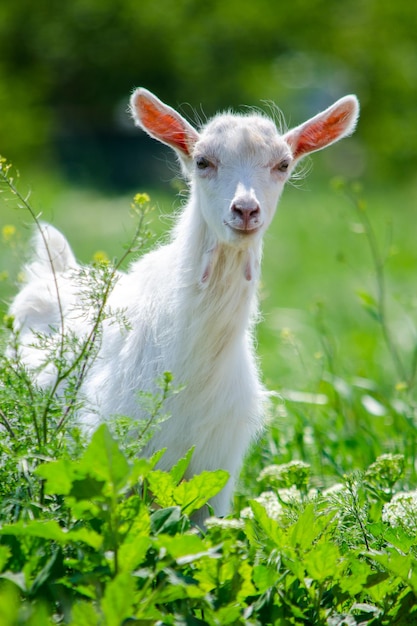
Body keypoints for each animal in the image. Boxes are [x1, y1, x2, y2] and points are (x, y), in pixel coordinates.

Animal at [11, 86, 360, 516]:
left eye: (283, 164)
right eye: (202, 161)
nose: (246, 209)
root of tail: (57, 270)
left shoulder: (215, 470)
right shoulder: (114, 451)